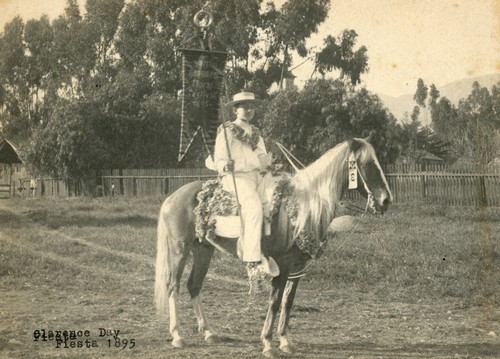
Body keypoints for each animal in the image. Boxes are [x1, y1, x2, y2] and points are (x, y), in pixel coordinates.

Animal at [154, 137, 392, 358]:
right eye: (368, 164)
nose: (386, 200)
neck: (303, 207)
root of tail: (172, 197)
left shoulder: (298, 269)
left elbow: (288, 303)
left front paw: (285, 341)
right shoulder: (283, 266)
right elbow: (275, 302)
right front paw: (268, 343)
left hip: (203, 250)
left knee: (194, 285)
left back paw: (208, 332)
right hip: (179, 249)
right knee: (173, 286)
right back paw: (177, 335)